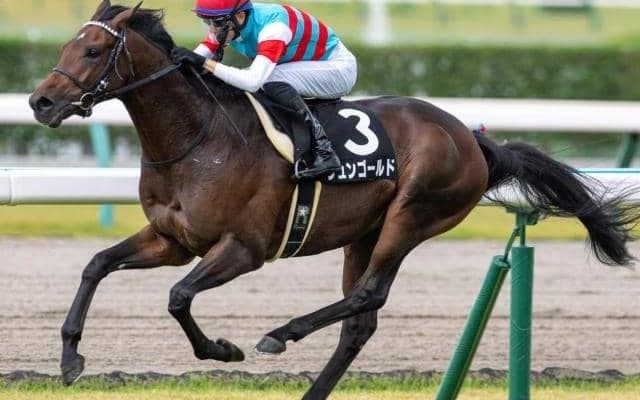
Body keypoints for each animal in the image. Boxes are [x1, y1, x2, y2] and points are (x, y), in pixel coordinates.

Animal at [29, 1, 638, 398]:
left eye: (93, 49)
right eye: (66, 45)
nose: (40, 102)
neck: (197, 139)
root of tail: (473, 138)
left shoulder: (244, 248)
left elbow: (178, 297)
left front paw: (223, 350)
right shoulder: (171, 239)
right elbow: (96, 265)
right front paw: (70, 358)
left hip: (412, 216)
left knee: (368, 295)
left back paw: (281, 334)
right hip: (362, 234)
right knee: (359, 322)